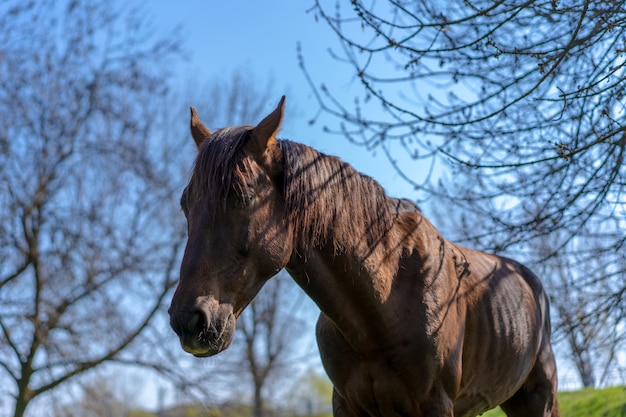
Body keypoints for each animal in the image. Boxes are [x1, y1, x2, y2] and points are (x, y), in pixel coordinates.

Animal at [168, 96, 560, 416]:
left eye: (243, 197)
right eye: (186, 205)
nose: (189, 321)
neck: (382, 306)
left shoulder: (437, 404)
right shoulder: (346, 404)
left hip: (538, 398)